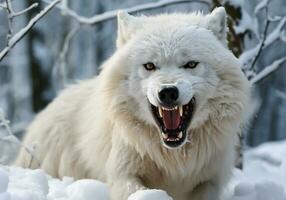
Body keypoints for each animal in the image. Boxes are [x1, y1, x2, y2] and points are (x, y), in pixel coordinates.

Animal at [15, 7, 251, 200]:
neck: (174, 159)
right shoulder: (124, 175)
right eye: (150, 66)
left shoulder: (209, 181)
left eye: (191, 64)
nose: (167, 92)